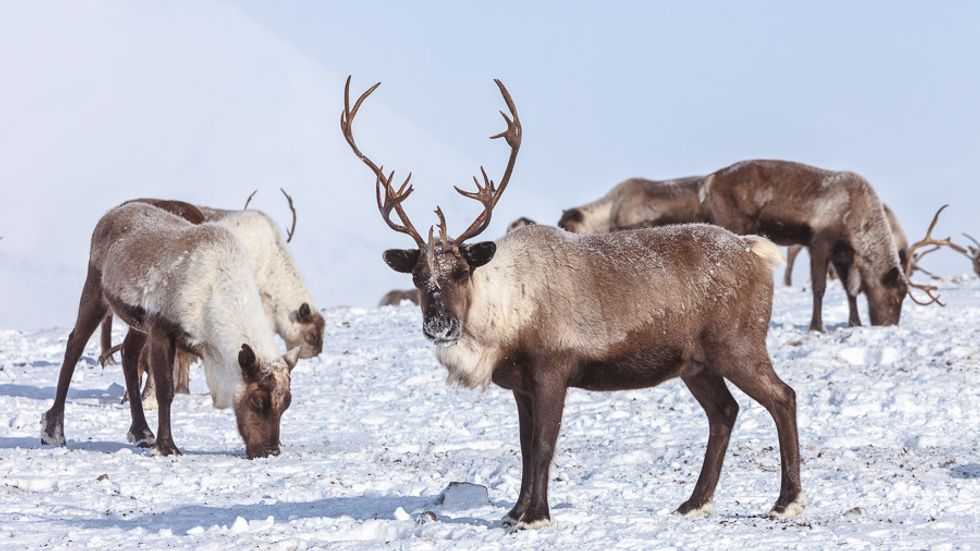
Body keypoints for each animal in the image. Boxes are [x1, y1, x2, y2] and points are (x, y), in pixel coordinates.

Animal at [41, 202, 301, 459]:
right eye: (256, 399)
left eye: (287, 402)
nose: (270, 451)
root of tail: (110, 214)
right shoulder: (161, 329)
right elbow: (165, 391)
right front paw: (167, 447)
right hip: (96, 288)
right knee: (74, 345)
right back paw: (53, 431)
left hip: (138, 323)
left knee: (128, 353)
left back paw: (141, 432)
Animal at [697, 160, 912, 332]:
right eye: (894, 297)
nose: (888, 324)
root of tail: (709, 181)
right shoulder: (819, 243)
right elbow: (819, 287)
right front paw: (817, 327)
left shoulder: (842, 254)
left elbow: (849, 290)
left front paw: (855, 323)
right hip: (732, 225)